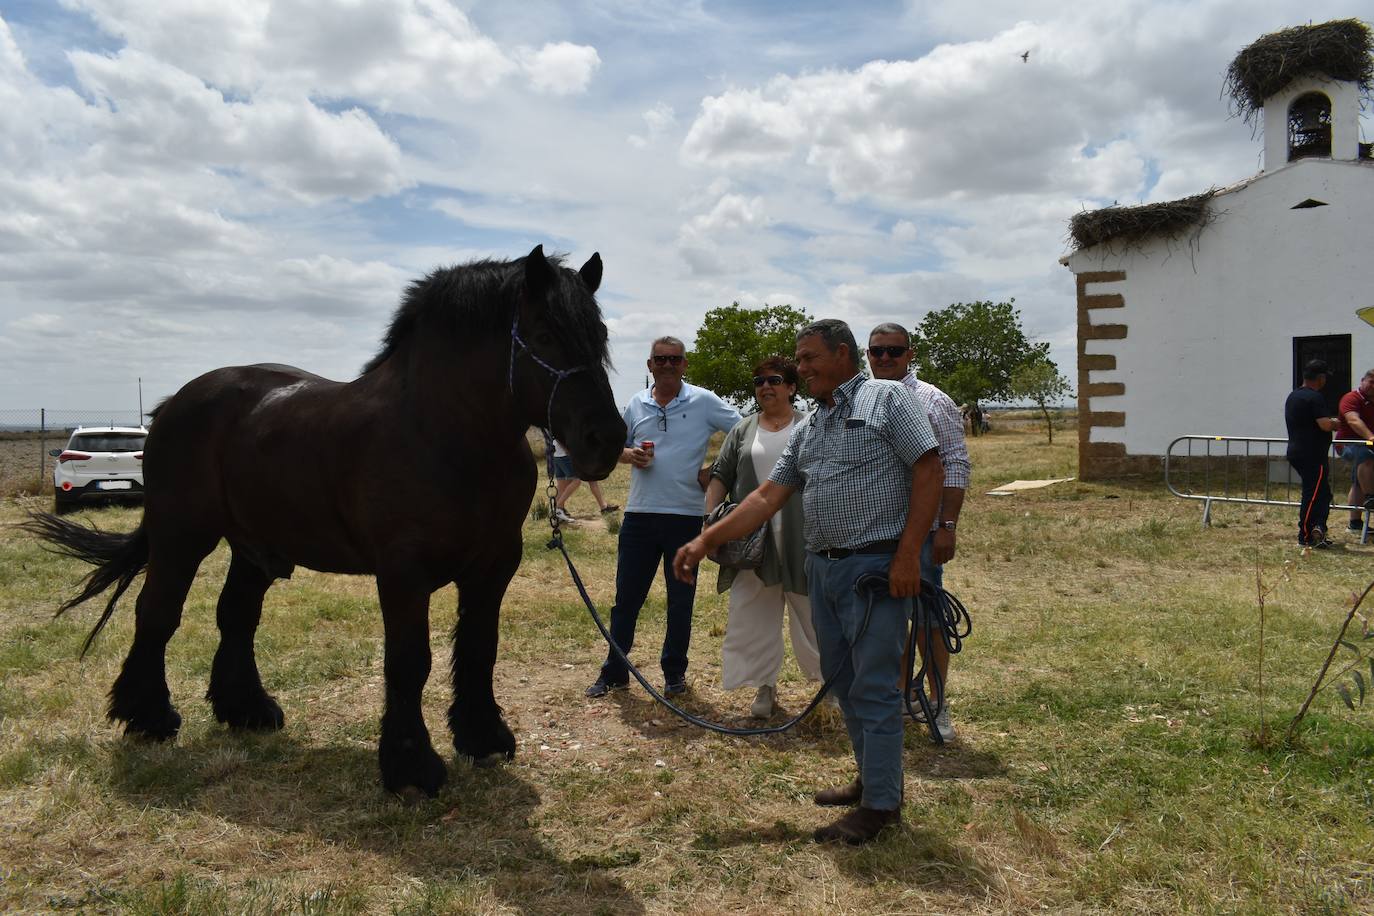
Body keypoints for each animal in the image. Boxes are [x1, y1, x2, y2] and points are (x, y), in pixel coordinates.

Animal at [24, 245, 626, 798]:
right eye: (544, 334)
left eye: (599, 336)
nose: (606, 440)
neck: (443, 434)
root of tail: (175, 403)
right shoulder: (403, 574)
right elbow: (409, 661)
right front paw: (411, 767)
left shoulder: (493, 567)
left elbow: (480, 650)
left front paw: (483, 738)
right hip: (182, 535)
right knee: (157, 614)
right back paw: (148, 717)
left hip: (253, 548)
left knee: (236, 616)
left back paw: (246, 710)